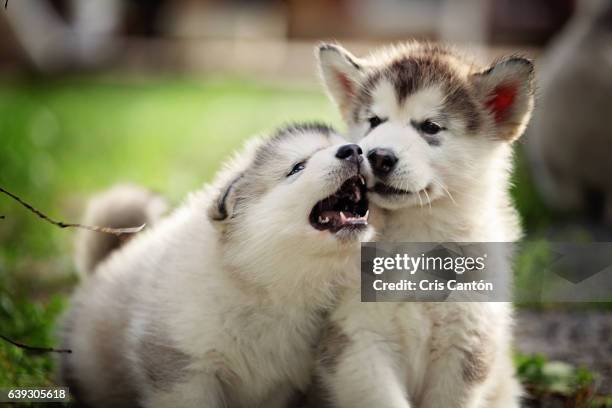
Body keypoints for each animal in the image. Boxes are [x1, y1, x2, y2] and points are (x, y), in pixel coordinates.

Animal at [316, 42, 536, 408]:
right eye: (374, 121)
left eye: (430, 127)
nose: (377, 155)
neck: (415, 235)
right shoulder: (358, 342)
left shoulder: (467, 343)